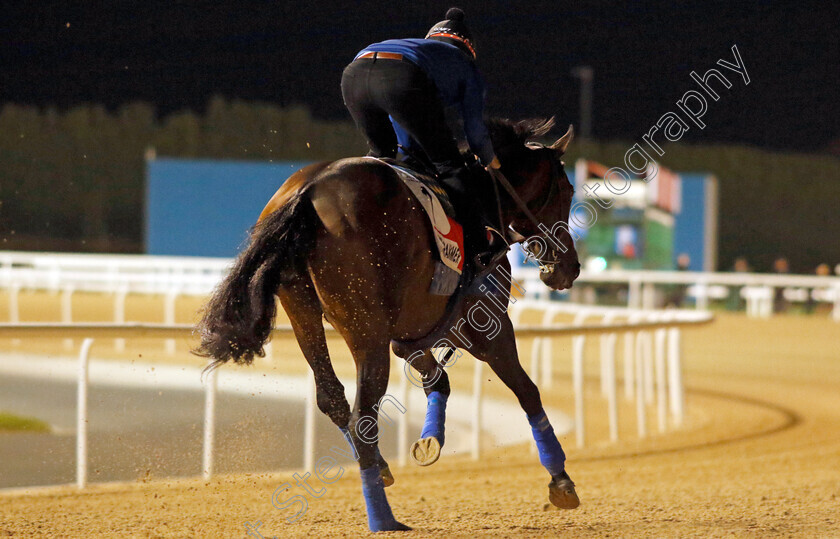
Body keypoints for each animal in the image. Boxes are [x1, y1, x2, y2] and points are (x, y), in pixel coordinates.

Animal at [194, 117, 580, 532]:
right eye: (568, 189)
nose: (570, 267)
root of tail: (308, 190)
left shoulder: (409, 334)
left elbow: (438, 380)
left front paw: (430, 441)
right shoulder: (485, 325)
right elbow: (527, 392)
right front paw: (561, 480)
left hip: (304, 313)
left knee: (333, 398)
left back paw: (379, 469)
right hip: (366, 331)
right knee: (363, 414)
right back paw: (383, 517)